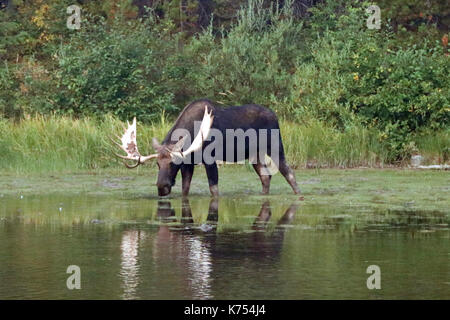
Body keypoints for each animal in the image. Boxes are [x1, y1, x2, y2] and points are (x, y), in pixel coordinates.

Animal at [114, 99, 300, 196]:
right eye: (158, 164)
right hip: (255, 155)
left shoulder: (209, 159)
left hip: (275, 146)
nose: (162, 186)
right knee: (265, 177)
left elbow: (214, 188)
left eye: (173, 163)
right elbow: (185, 189)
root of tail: (275, 116)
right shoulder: (188, 164)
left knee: (288, 172)